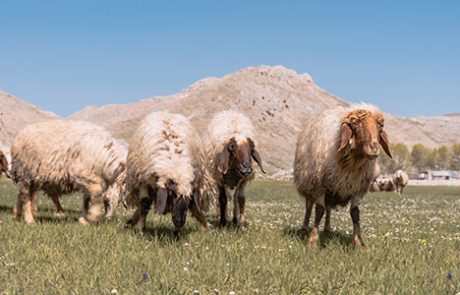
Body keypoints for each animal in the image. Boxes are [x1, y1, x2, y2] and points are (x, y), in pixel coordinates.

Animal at [294, 103, 392, 249]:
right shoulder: (320, 185)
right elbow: (319, 211)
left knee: (328, 208)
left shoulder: (357, 188)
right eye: (355, 124)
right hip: (309, 182)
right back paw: (304, 228)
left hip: (331, 190)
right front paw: (313, 240)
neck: (353, 162)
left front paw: (359, 243)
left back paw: (327, 229)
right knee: (309, 207)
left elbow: (355, 214)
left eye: (380, 126)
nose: (374, 149)